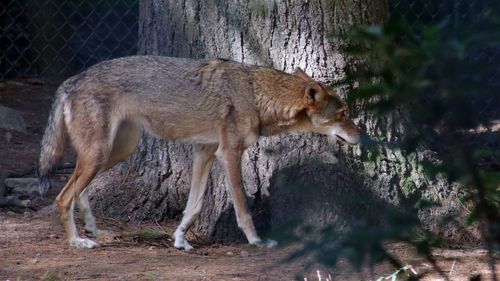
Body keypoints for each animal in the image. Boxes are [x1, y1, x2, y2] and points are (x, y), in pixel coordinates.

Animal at [38, 55, 360, 248]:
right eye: (343, 114)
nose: (361, 136)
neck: (255, 96)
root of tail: (72, 80)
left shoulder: (204, 152)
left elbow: (193, 206)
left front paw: (180, 240)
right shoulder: (229, 154)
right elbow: (243, 208)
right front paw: (257, 241)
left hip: (115, 153)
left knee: (79, 191)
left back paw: (94, 231)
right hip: (99, 155)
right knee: (63, 196)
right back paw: (78, 241)